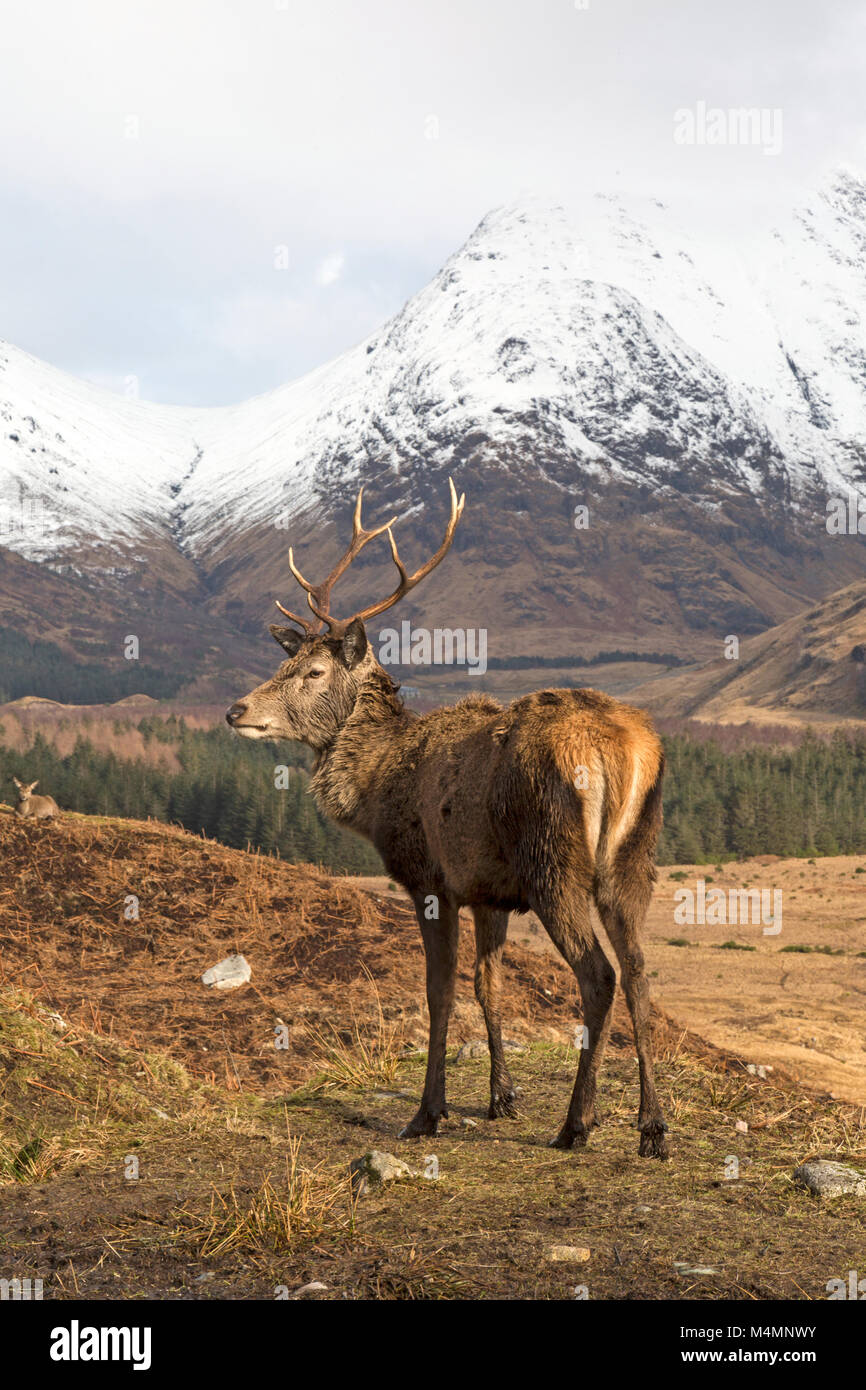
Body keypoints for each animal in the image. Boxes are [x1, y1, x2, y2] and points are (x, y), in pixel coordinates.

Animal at [227, 481, 670, 1158]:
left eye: (314, 671)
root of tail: (622, 750)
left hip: (553, 862)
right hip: (634, 859)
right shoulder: (488, 889)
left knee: (599, 975)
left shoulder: (430, 878)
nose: (236, 710)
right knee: (642, 970)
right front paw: (500, 1098)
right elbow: (489, 984)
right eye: (285, 662)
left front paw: (426, 1113)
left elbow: (440, 993)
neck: (376, 787)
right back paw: (652, 1126)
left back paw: (577, 1123)